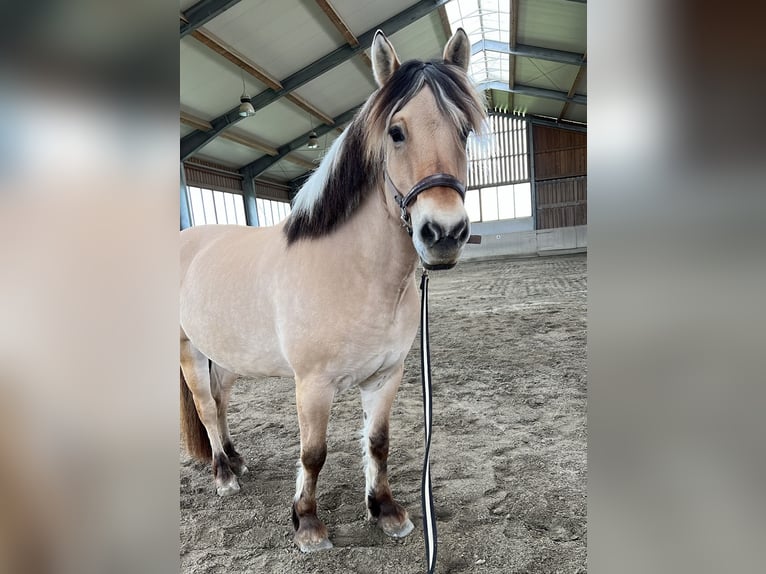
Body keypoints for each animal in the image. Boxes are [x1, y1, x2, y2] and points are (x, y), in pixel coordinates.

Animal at [179, 28, 486, 553]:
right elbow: (314, 453)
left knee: (218, 404)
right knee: (203, 407)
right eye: (396, 131)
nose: (444, 233)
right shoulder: (313, 386)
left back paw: (236, 459)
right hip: (190, 351)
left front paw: (386, 511)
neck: (352, 273)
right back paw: (223, 475)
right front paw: (307, 524)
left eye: (464, 130)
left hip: (227, 355)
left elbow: (378, 443)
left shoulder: (386, 377)